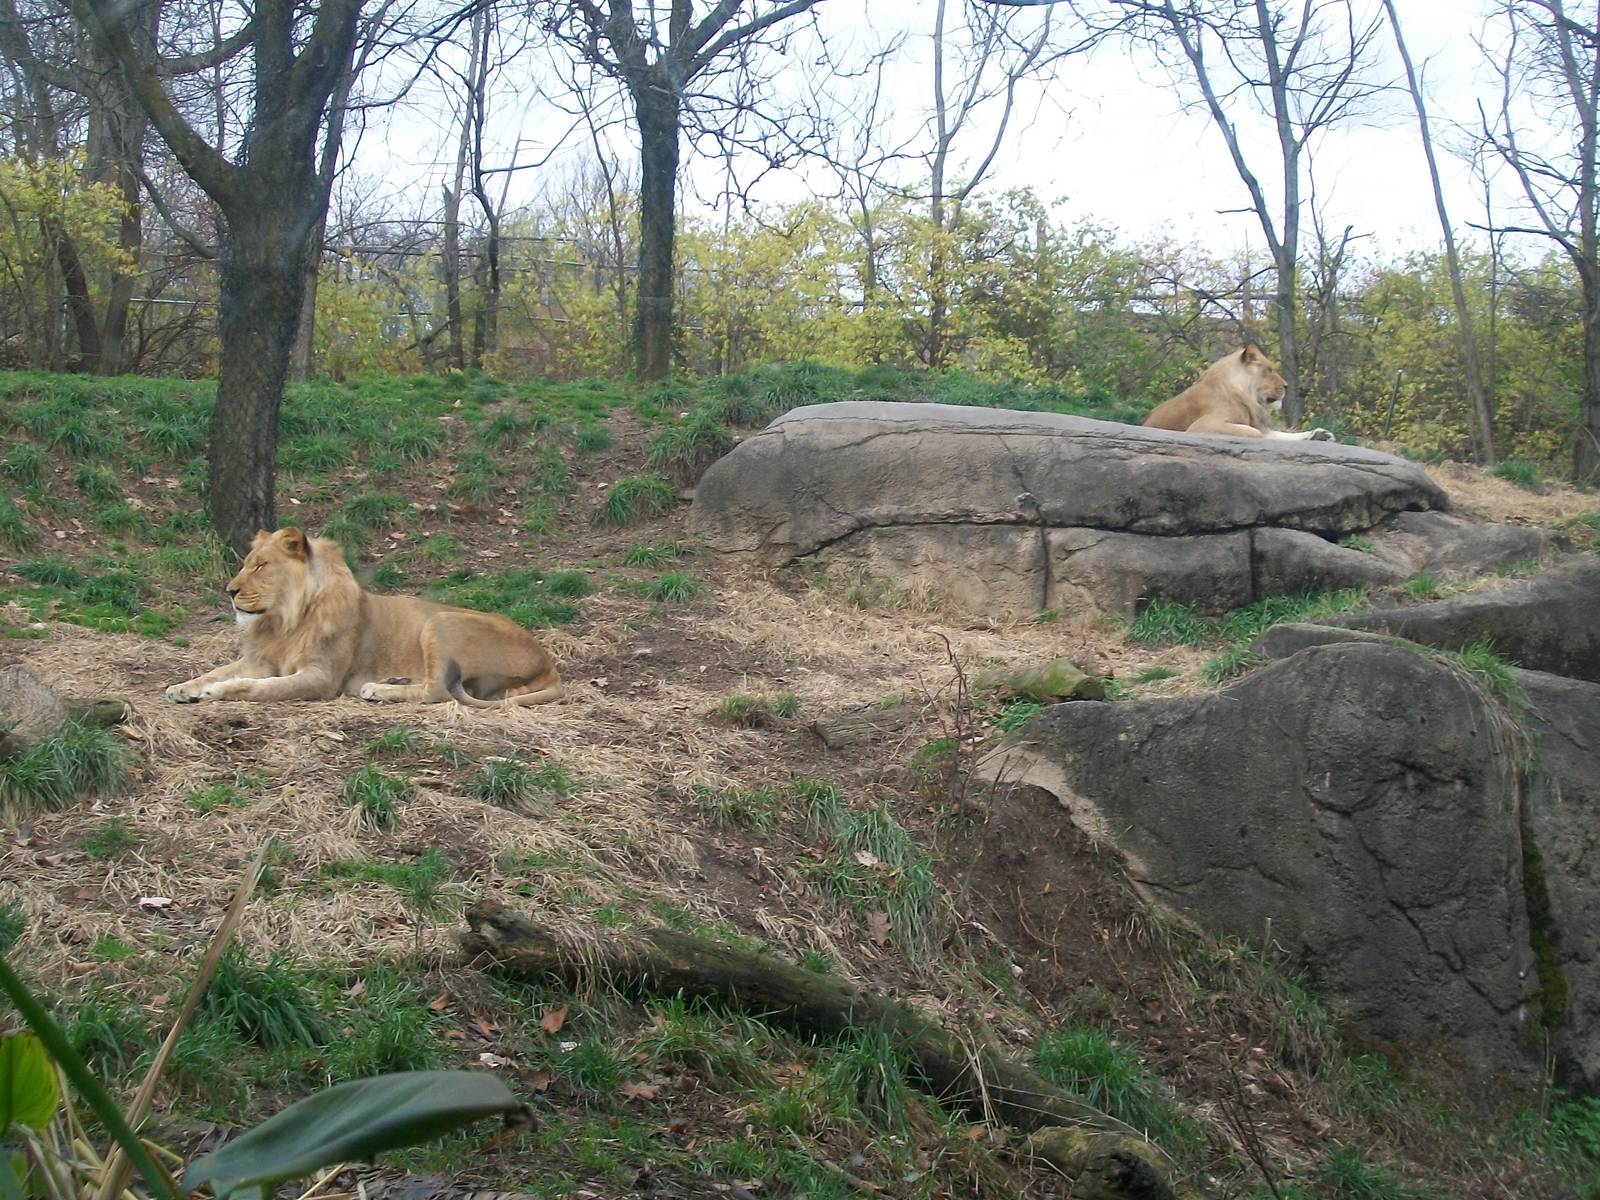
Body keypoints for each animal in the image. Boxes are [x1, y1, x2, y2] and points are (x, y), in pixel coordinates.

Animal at [165, 527, 563, 707]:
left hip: (440, 621)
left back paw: (378, 689)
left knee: (438, 691)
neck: (285, 621)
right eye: (245, 564)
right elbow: (218, 670)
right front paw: (182, 687)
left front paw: (217, 692)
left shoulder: (321, 677)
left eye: (261, 566)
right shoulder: (262, 660)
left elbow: (257, 687)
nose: (229, 591)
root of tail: (548, 661)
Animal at [1142, 345, 1334, 442]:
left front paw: (1320, 435)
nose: (1286, 386)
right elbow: (1253, 432)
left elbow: (1286, 436)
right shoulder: (1202, 426)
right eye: (1269, 370)